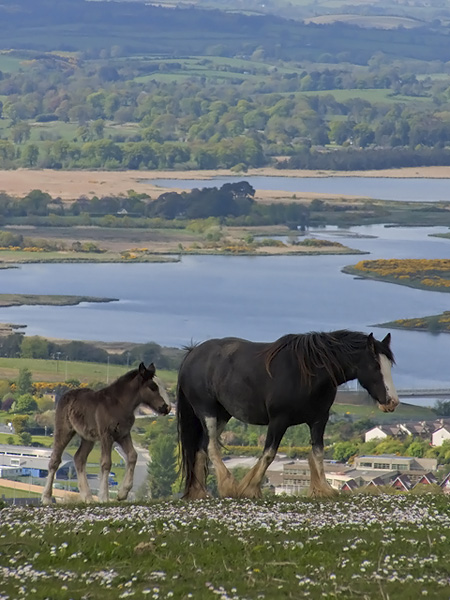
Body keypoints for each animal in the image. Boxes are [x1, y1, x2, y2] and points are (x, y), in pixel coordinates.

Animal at [42, 364, 170, 504]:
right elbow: (106, 463)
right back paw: (46, 498)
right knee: (55, 460)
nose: (167, 408)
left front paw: (122, 494)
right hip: (64, 430)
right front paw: (104, 497)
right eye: (153, 387)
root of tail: (65, 396)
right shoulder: (106, 435)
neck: (119, 404)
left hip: (88, 438)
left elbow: (132, 456)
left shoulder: (123, 435)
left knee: (79, 458)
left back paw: (88, 497)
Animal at [178, 330, 400, 500]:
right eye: (375, 366)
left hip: (222, 414)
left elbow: (318, 453)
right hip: (207, 411)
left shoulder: (319, 420)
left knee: (201, 447)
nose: (392, 402)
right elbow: (269, 453)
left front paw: (323, 489)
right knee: (211, 447)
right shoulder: (279, 420)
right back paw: (228, 486)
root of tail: (192, 353)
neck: (308, 373)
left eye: (389, 365)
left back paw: (198, 492)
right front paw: (249, 488)